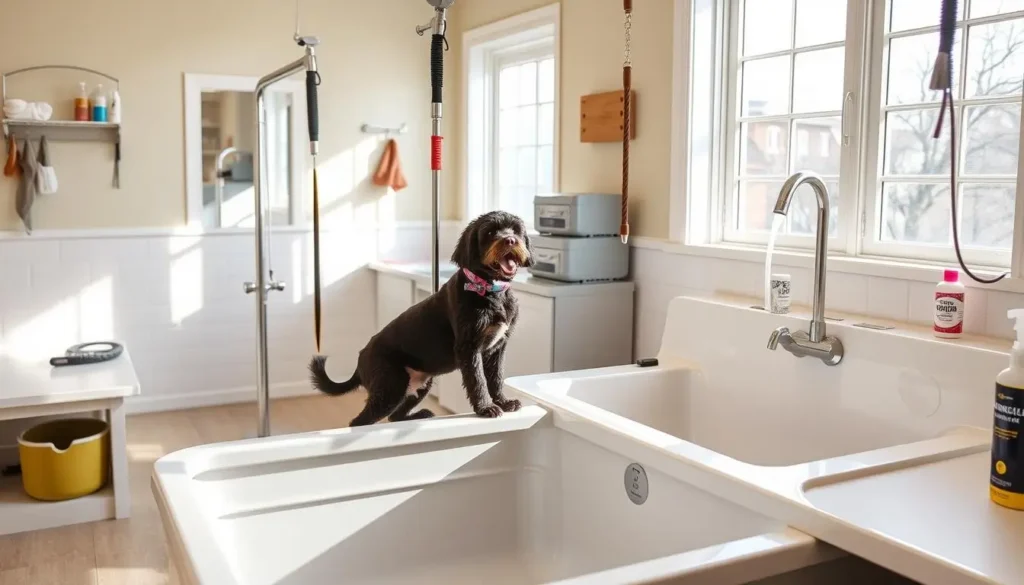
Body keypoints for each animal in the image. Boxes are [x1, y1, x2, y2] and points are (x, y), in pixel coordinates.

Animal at [309, 211, 536, 426]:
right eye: (489, 232)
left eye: (516, 230)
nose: (510, 240)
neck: (490, 290)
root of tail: (360, 360)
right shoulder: (469, 348)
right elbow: (477, 380)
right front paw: (486, 408)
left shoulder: (498, 347)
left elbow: (496, 378)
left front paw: (503, 402)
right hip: (390, 385)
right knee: (358, 422)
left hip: (418, 385)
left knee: (395, 416)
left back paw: (421, 415)